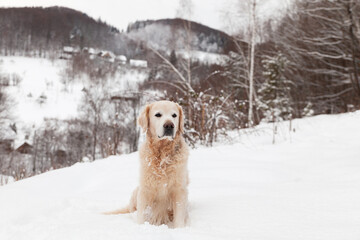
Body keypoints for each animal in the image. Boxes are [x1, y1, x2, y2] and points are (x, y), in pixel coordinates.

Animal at [106, 100, 190, 228]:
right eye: (158, 115)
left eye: (174, 115)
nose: (169, 125)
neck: (162, 154)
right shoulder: (145, 189)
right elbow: (141, 215)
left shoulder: (179, 190)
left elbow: (179, 216)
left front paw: (179, 229)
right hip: (136, 191)